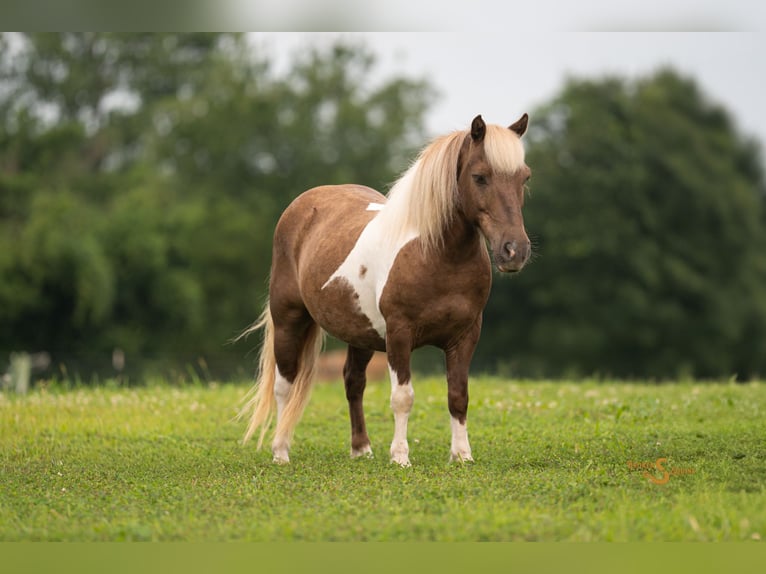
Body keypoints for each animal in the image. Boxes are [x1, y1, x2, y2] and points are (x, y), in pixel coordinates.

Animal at [239, 114, 531, 466]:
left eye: (524, 178)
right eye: (480, 177)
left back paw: (361, 449)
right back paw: (280, 451)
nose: (514, 251)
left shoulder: (465, 336)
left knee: (353, 381)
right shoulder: (399, 334)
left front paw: (462, 455)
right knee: (285, 385)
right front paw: (400, 457)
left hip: (360, 333)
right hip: (289, 320)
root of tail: (303, 204)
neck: (436, 255)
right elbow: (403, 397)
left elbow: (458, 395)